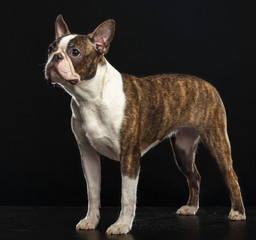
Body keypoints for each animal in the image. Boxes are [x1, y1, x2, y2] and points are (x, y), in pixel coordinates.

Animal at [44, 14, 246, 234]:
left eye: (75, 52)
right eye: (50, 48)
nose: (55, 57)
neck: (90, 98)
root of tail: (208, 85)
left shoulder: (129, 156)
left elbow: (127, 196)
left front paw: (122, 225)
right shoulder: (89, 156)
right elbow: (93, 193)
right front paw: (91, 221)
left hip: (217, 142)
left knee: (231, 176)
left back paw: (238, 212)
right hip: (183, 150)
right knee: (195, 176)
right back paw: (191, 207)